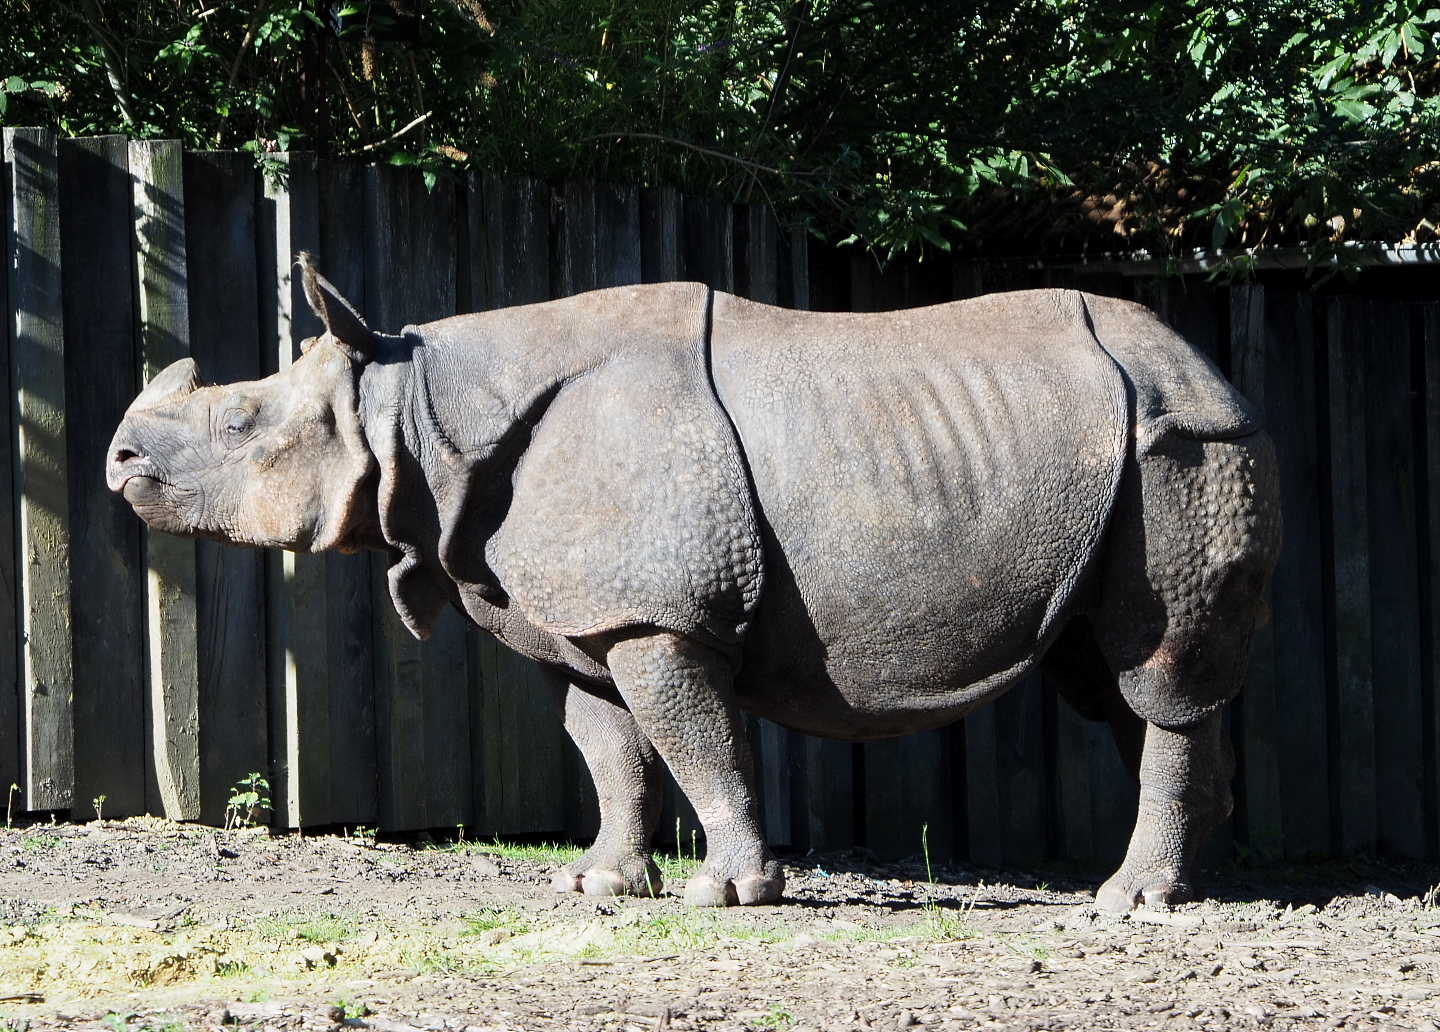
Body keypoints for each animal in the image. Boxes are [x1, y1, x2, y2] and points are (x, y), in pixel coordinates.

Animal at [107, 259, 1280, 909]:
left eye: (240, 422)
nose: (117, 462)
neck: (419, 406)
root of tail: (1214, 368)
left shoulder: (659, 614)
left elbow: (693, 739)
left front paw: (730, 893)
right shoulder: (591, 618)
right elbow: (610, 749)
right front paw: (601, 884)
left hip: (1187, 444)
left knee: (1151, 670)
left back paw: (1128, 902)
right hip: (1138, 448)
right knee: (1108, 678)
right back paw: (1187, 886)